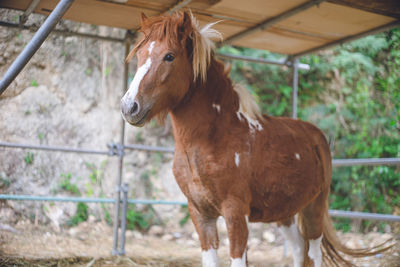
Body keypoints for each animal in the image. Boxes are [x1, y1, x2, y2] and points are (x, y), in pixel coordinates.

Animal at [120, 11, 390, 267]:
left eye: (169, 56)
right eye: (139, 54)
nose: (129, 107)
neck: (213, 139)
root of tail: (317, 136)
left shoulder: (235, 213)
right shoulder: (200, 214)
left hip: (314, 206)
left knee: (313, 251)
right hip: (285, 212)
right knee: (298, 248)